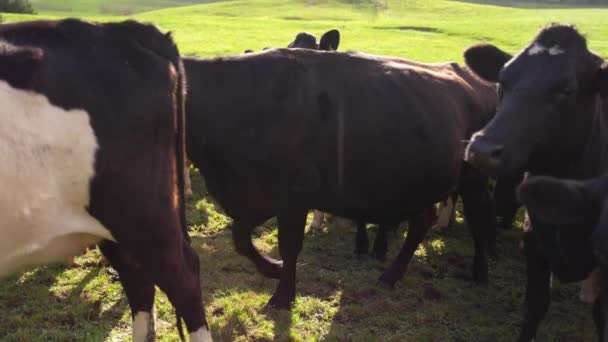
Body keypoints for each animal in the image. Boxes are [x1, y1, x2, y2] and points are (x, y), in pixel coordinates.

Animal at [185, 47, 498, 310]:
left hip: (473, 179)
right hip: (420, 182)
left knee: (478, 220)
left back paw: (480, 273)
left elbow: (289, 246)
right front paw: (273, 269)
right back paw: (391, 276)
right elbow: (240, 237)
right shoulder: (260, 199)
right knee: (422, 222)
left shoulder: (294, 195)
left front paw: (283, 297)